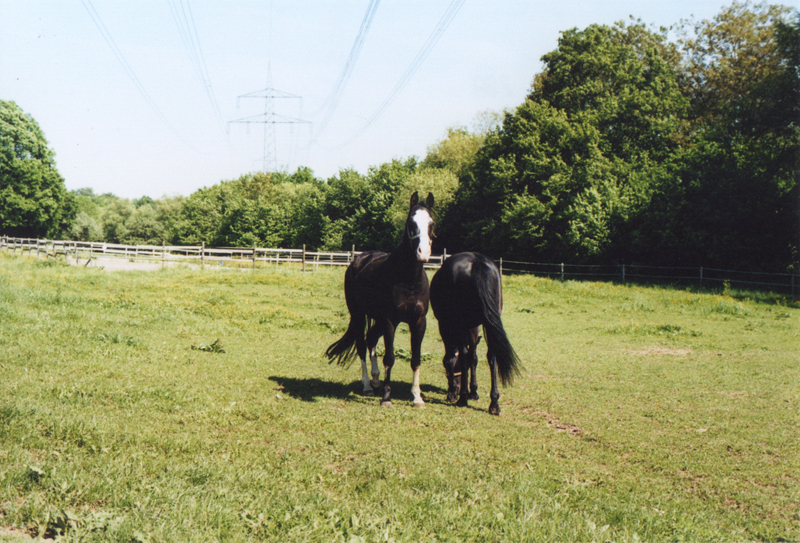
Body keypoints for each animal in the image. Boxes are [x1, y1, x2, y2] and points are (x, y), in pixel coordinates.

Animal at [325, 191, 435, 408]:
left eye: (431, 223)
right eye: (411, 222)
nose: (423, 253)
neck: (408, 280)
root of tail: (358, 260)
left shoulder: (419, 322)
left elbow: (415, 359)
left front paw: (417, 398)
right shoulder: (390, 321)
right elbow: (390, 358)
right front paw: (386, 398)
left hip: (376, 318)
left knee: (370, 339)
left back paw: (376, 380)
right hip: (359, 315)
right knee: (361, 345)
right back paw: (368, 385)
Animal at [429, 252, 521, 415]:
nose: (458, 386)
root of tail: (477, 262)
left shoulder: (446, 325)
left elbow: (451, 358)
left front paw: (453, 392)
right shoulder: (473, 327)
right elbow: (474, 357)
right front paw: (473, 391)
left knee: (464, 354)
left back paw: (462, 399)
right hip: (488, 321)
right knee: (491, 355)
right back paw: (494, 403)